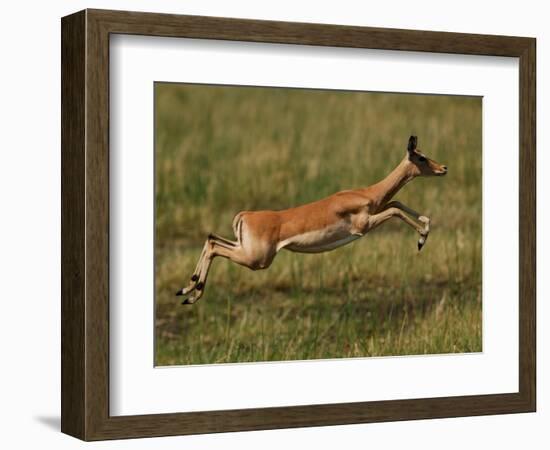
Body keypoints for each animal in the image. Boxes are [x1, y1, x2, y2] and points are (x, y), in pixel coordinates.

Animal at [177, 135, 448, 304]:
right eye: (421, 157)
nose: (443, 168)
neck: (366, 193)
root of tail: (245, 215)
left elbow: (397, 203)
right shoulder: (363, 227)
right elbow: (395, 210)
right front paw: (421, 240)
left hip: (245, 249)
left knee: (211, 240)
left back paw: (188, 290)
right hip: (257, 260)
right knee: (214, 246)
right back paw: (191, 293)